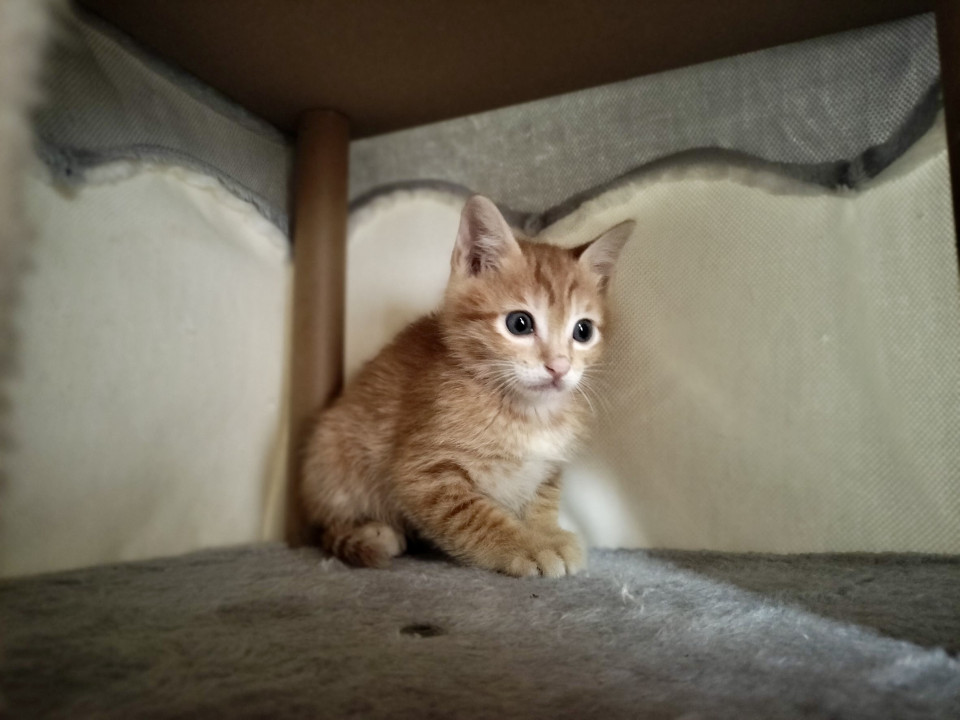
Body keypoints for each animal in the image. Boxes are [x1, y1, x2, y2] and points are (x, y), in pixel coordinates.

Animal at [301, 195, 633, 577]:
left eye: (583, 330)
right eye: (519, 323)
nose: (559, 367)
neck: (529, 413)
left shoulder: (548, 466)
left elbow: (542, 499)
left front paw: (546, 532)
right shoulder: (423, 474)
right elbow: (476, 517)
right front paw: (528, 546)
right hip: (331, 454)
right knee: (330, 523)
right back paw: (372, 531)